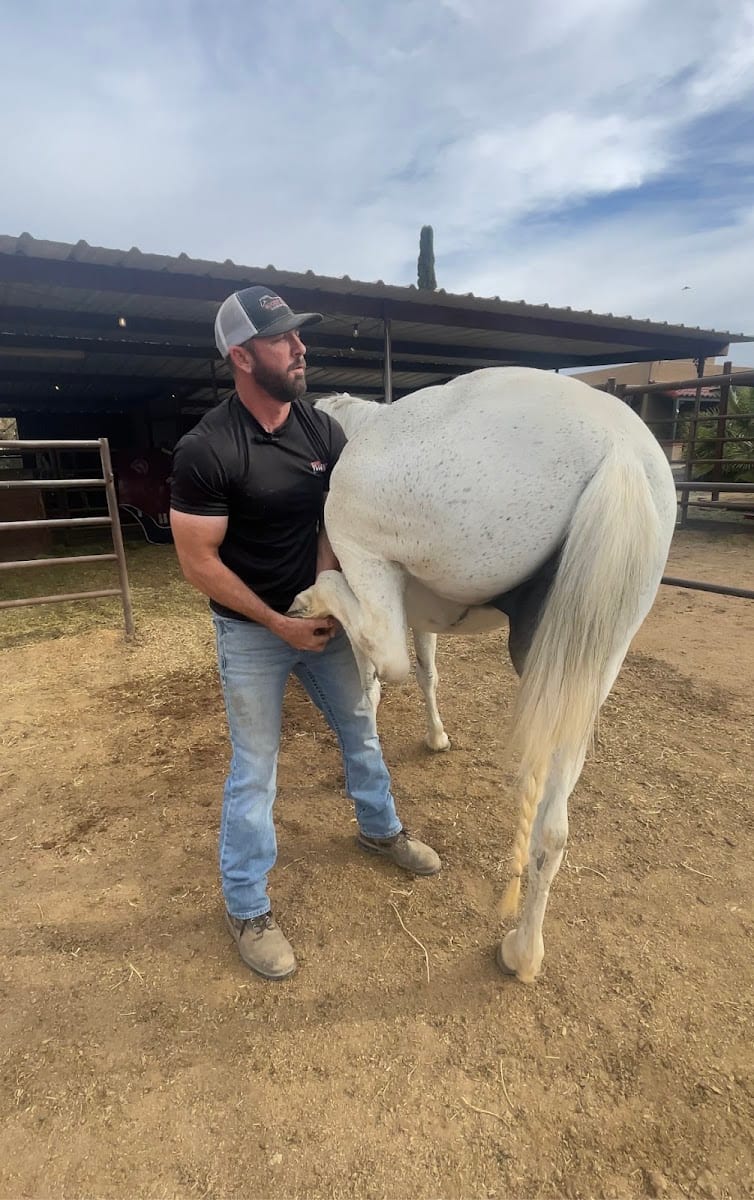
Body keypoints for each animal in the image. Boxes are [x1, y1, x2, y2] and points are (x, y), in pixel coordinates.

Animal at [291, 367, 677, 983]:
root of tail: (616, 447)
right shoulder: (426, 620)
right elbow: (427, 673)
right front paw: (436, 738)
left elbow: (375, 680)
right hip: (582, 673)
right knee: (553, 831)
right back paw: (523, 952)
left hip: (361, 543)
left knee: (381, 644)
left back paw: (312, 597)